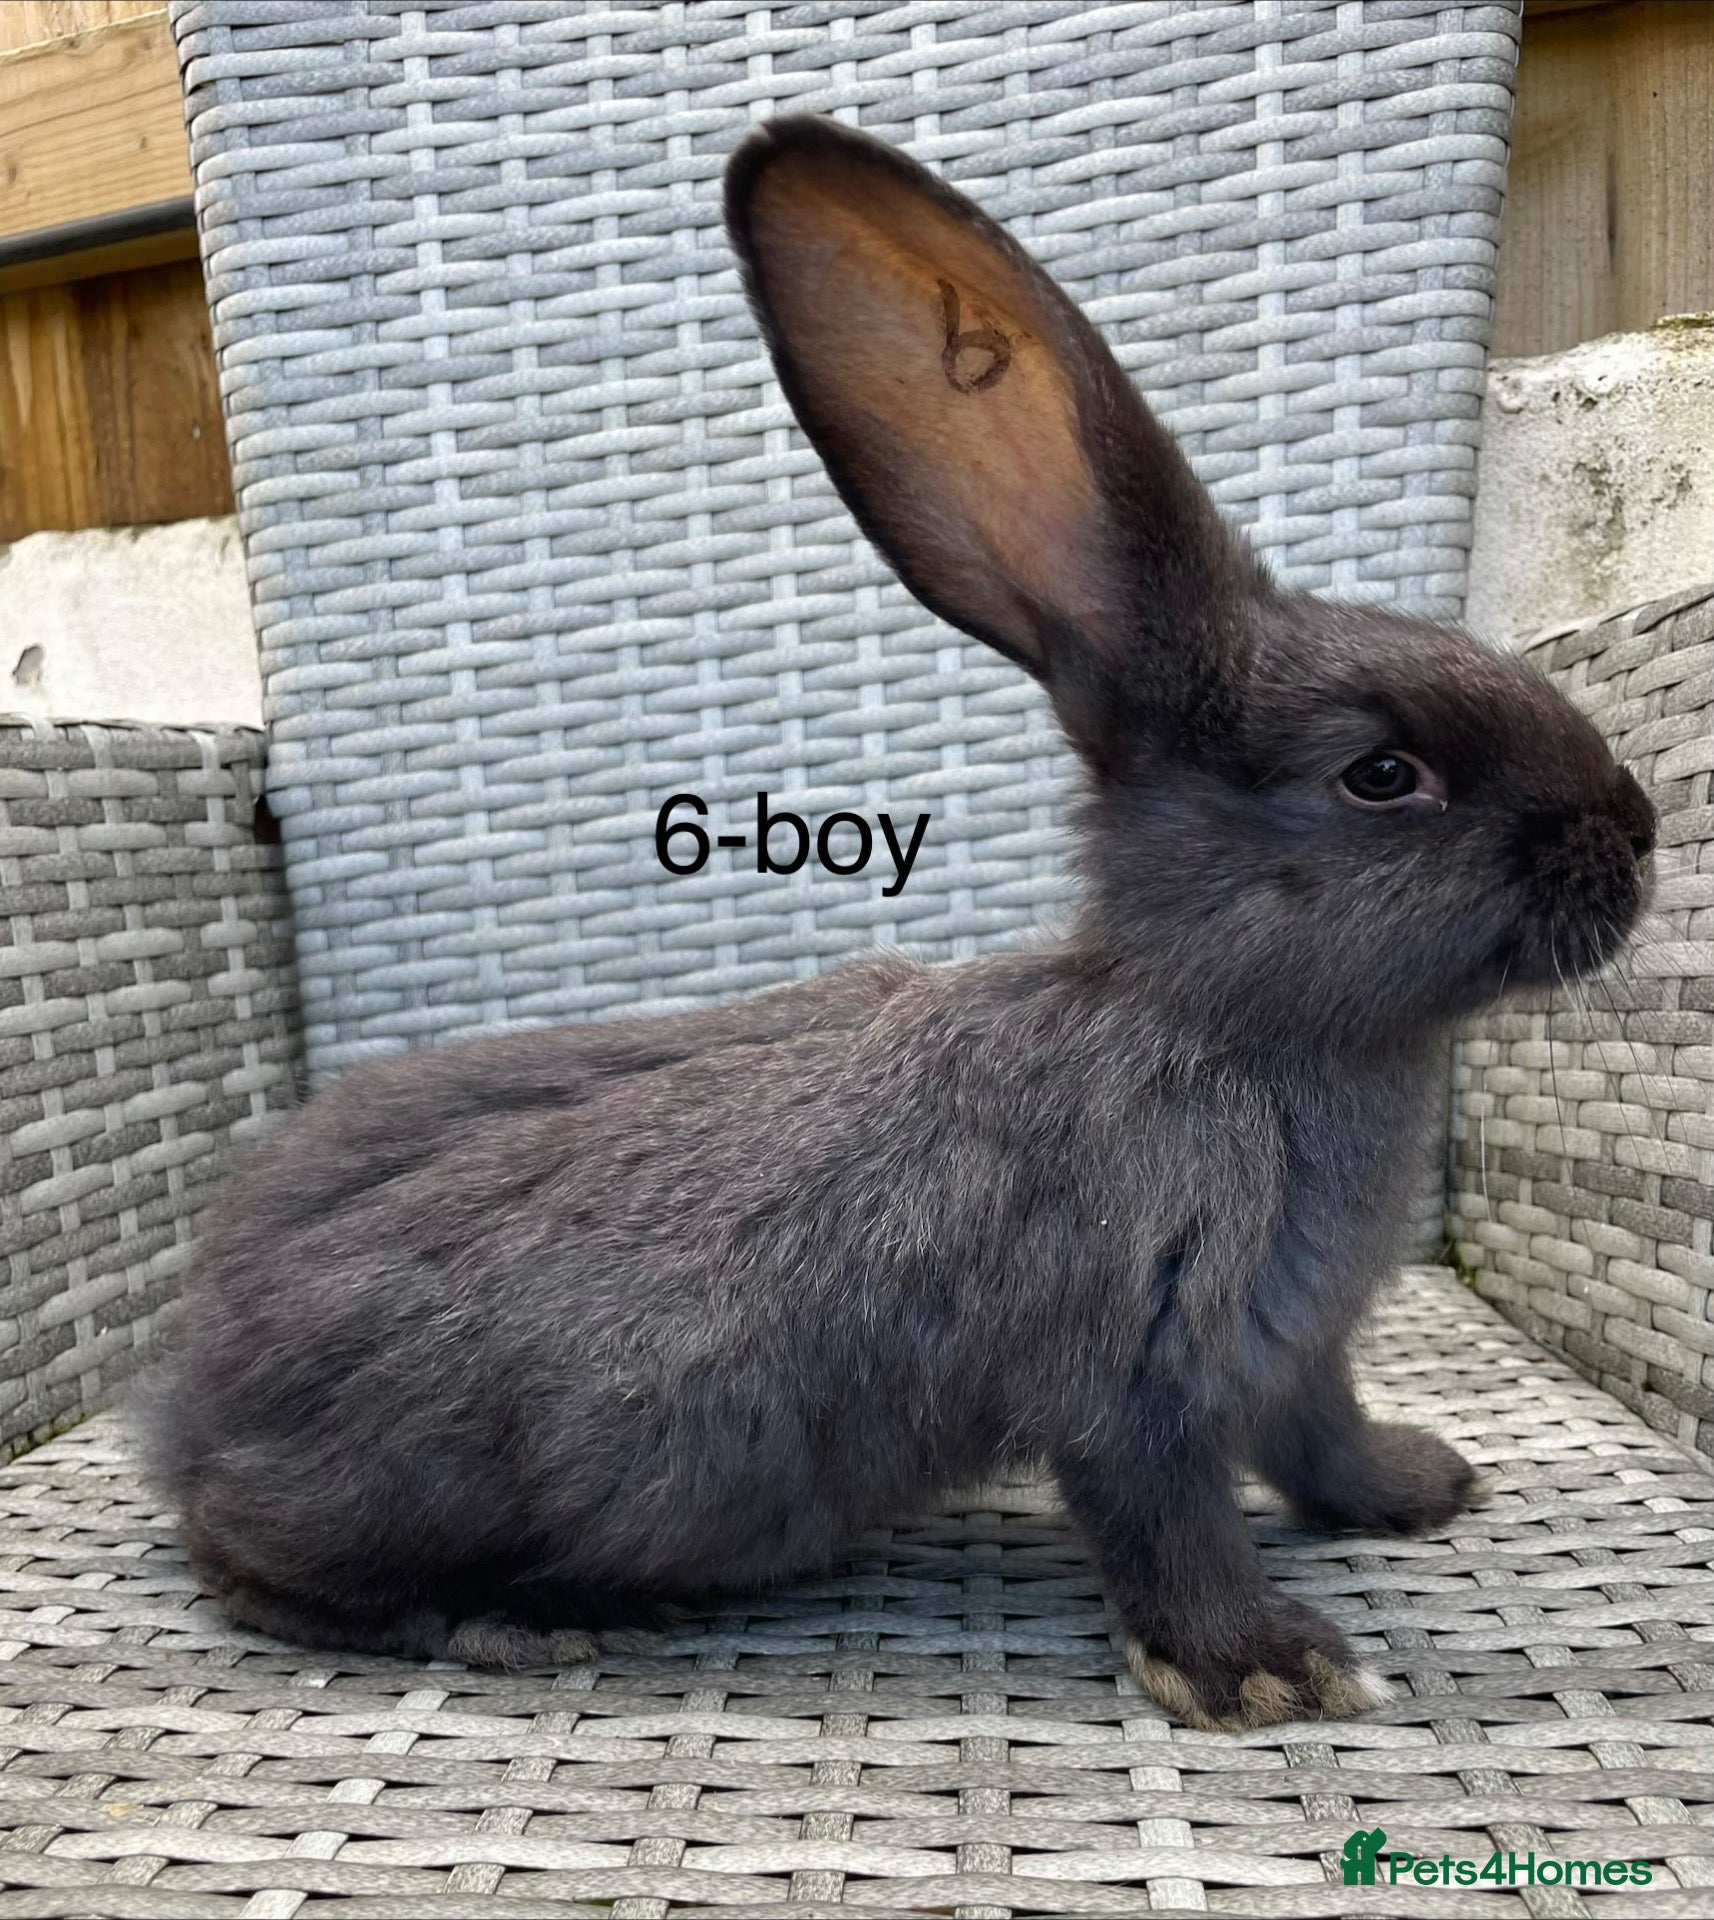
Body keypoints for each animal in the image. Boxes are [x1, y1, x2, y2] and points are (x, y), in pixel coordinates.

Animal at [136, 114, 1656, 1732]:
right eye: (1382, 775)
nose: (1634, 836)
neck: (1218, 1019)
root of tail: (187, 1399)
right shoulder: (1142, 1370)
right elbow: (1167, 1522)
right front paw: (1266, 1671)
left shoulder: (1301, 1356)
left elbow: (1322, 1440)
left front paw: (1417, 1489)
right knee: (243, 1565)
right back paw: (512, 1625)